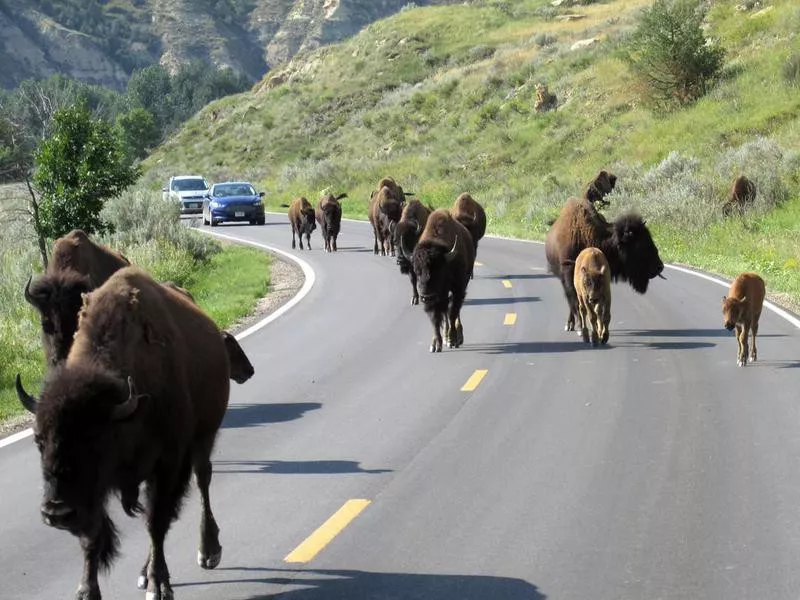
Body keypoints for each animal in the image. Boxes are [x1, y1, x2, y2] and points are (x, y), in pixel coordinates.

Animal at [16, 266, 231, 600]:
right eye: (39, 440)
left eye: (93, 438)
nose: (56, 512)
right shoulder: (94, 491)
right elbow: (93, 535)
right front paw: (87, 590)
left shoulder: (168, 466)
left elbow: (156, 523)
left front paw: (159, 585)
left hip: (203, 439)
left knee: (202, 481)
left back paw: (208, 551)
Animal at [412, 210, 476, 352]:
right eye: (416, 270)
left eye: (438, 270)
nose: (425, 295)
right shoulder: (435, 300)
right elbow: (435, 319)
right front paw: (435, 345)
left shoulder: (458, 289)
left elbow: (452, 313)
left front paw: (452, 340)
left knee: (453, 312)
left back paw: (457, 337)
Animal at [548, 199, 664, 336]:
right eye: (641, 245)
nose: (660, 266)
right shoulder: (571, 278)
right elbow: (577, 303)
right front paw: (581, 329)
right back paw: (570, 324)